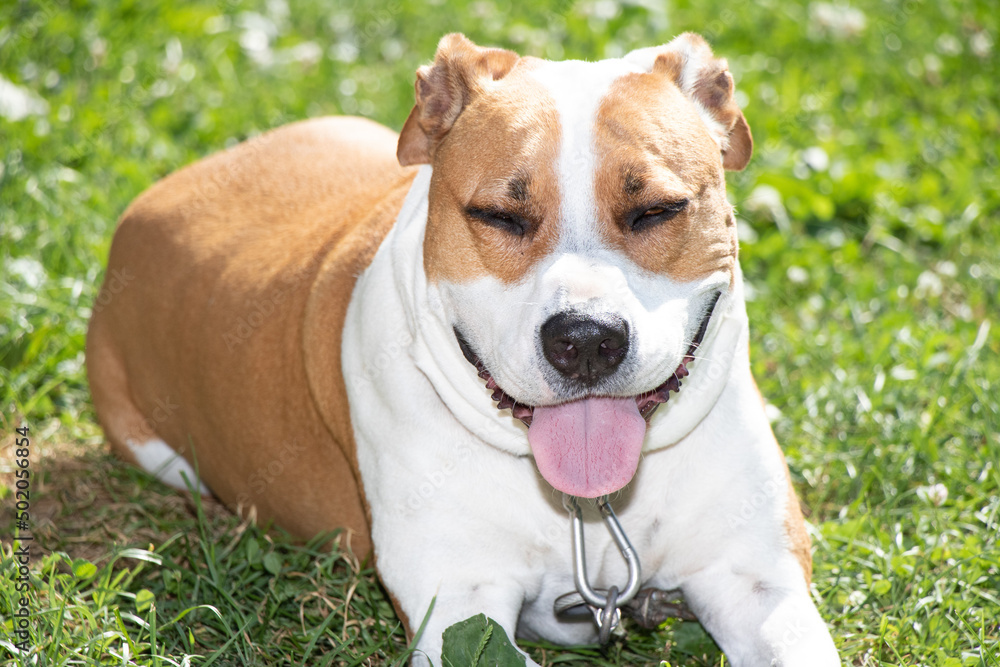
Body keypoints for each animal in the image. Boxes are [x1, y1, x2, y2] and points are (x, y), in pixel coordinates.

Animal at [86, 32, 840, 667]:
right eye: (498, 216)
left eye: (657, 210)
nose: (585, 339)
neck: (587, 512)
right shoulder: (459, 607)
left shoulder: (755, 580)